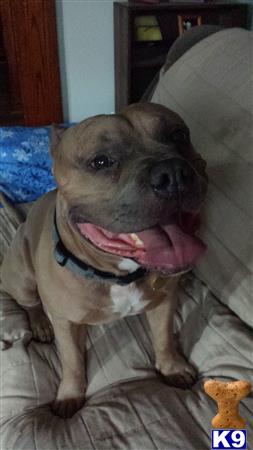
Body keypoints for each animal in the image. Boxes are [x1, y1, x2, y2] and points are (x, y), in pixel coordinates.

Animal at [0, 103, 208, 418]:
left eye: (178, 135)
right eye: (101, 161)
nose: (173, 174)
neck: (117, 275)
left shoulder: (164, 302)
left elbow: (163, 337)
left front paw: (172, 367)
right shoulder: (65, 322)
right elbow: (72, 360)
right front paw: (70, 394)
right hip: (22, 279)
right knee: (30, 304)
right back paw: (40, 324)